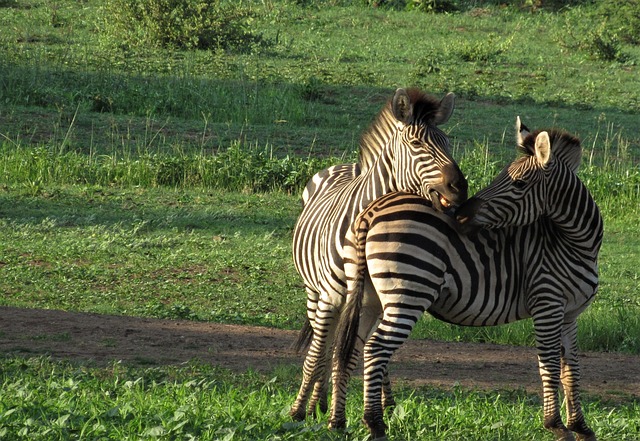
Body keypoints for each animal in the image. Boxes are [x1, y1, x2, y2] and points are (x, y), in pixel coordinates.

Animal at [288, 87, 464, 422]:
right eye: (417, 144)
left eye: (448, 142)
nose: (460, 187)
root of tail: (345, 166)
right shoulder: (330, 297)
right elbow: (319, 355)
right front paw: (299, 410)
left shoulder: (375, 297)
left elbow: (354, 353)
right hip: (314, 293)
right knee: (321, 344)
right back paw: (315, 401)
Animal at [332, 117, 604, 440]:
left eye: (518, 183)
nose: (460, 215)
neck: (577, 243)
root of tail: (373, 209)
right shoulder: (546, 303)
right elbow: (549, 363)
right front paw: (556, 426)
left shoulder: (570, 314)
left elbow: (570, 368)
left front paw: (580, 426)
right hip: (408, 295)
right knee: (375, 348)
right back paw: (374, 424)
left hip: (368, 295)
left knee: (349, 348)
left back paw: (337, 422)